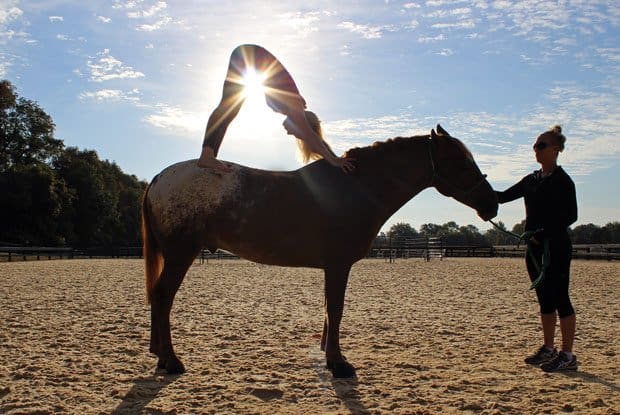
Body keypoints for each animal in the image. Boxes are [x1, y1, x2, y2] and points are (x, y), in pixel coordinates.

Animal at [142, 123, 498, 376]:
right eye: (461, 162)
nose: (492, 204)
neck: (354, 187)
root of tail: (159, 178)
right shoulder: (339, 265)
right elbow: (336, 309)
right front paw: (339, 363)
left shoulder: (332, 266)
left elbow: (328, 310)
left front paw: (329, 354)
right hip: (181, 255)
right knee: (162, 296)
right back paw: (171, 361)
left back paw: (160, 355)